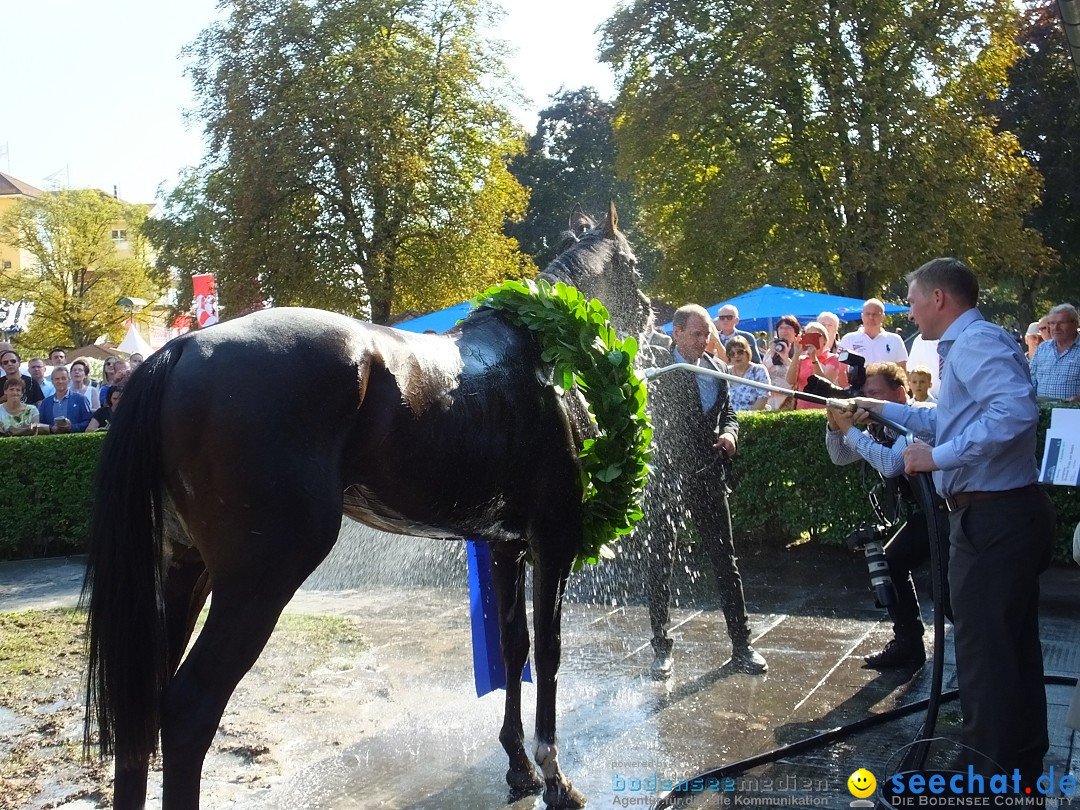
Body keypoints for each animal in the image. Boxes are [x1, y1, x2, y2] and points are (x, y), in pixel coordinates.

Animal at [82, 206, 648, 810]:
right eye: (634, 264)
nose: (651, 317)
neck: (542, 351)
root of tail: (179, 350)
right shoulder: (553, 537)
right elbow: (548, 652)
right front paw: (555, 777)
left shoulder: (505, 545)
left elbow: (514, 648)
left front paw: (519, 765)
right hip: (260, 579)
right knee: (189, 709)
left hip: (182, 570)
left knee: (143, 707)